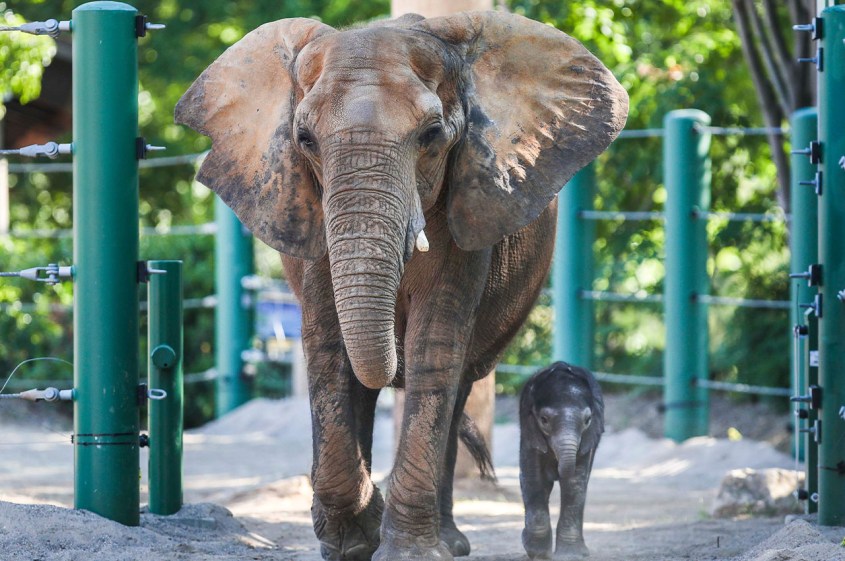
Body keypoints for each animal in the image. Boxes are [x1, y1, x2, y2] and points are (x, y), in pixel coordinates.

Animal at [519, 362, 605, 560]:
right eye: (544, 420)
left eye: (588, 420)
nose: (557, 471)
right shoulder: (530, 434)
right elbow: (534, 480)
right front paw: (539, 554)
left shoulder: (587, 441)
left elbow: (574, 484)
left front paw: (571, 555)